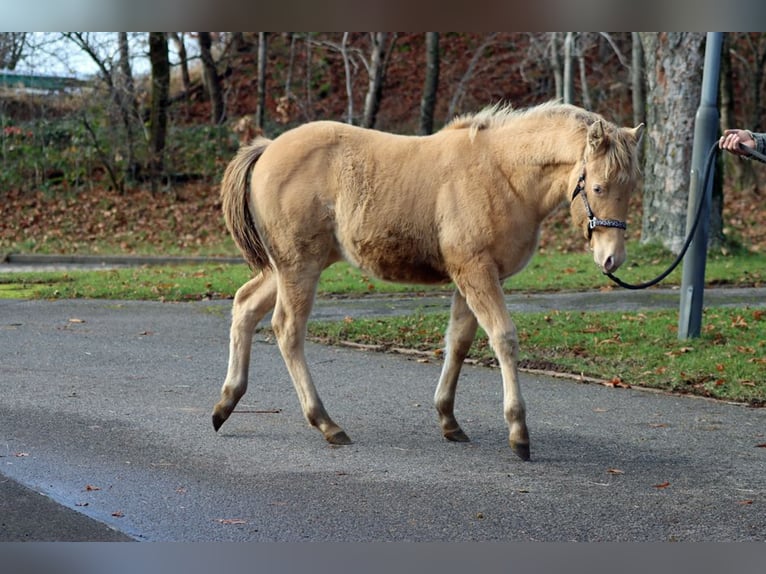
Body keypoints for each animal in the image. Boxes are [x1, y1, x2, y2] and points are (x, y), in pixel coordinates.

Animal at [212, 101, 644, 461]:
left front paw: (448, 420)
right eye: (598, 186)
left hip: (284, 267)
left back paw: (225, 404)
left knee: (245, 305)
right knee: (287, 329)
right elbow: (503, 338)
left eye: (631, 188)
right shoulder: (476, 272)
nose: (612, 258)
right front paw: (519, 433)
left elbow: (459, 342)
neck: (502, 174)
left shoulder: (472, 277)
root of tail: (268, 147)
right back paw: (325, 422)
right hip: (300, 265)